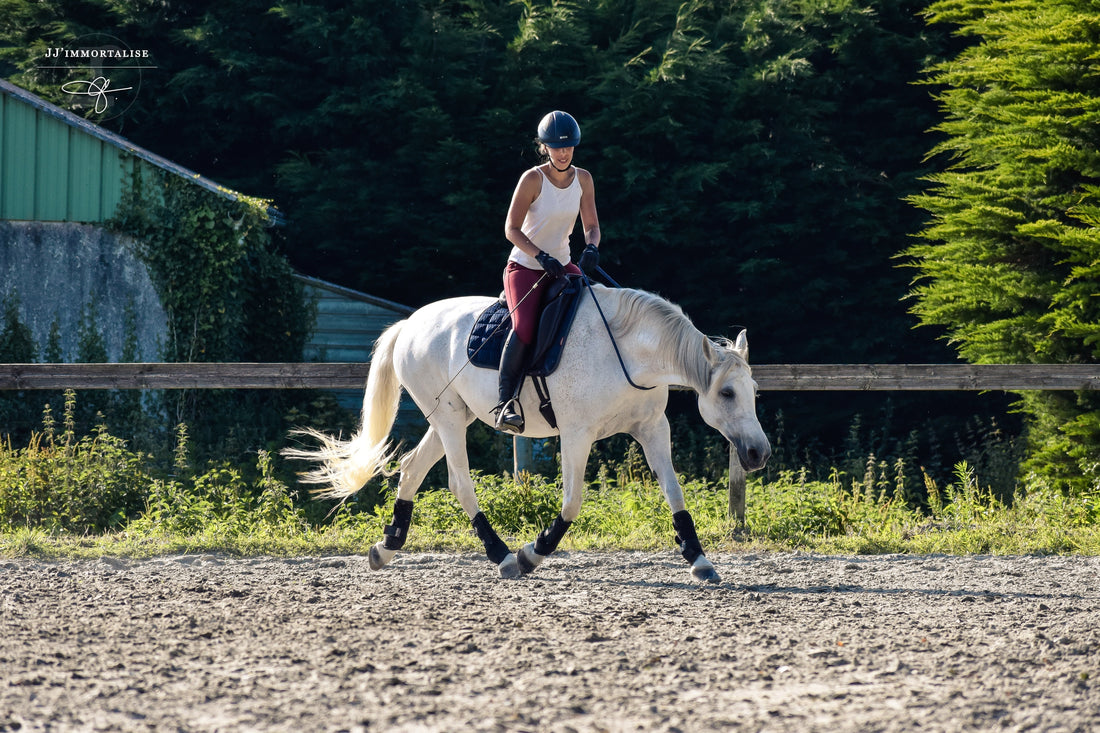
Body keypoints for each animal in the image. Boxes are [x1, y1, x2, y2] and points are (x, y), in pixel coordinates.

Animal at [283, 281, 770, 583]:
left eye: (753, 392)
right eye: (727, 393)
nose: (758, 454)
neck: (629, 353)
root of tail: (410, 324)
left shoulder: (652, 429)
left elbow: (675, 493)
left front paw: (700, 561)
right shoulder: (576, 435)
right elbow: (572, 503)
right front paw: (531, 554)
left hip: (451, 418)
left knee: (411, 467)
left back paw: (386, 548)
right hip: (447, 419)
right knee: (460, 483)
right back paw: (502, 556)